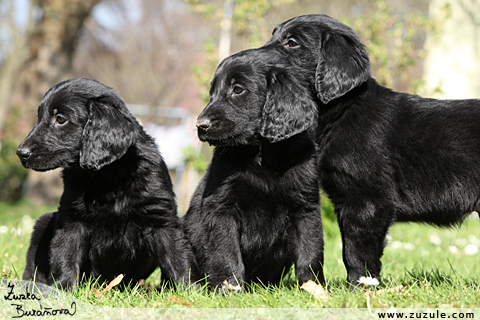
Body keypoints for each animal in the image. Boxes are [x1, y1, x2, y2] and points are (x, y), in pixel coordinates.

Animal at [16, 78, 197, 290]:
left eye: (60, 119)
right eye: (39, 117)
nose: (21, 153)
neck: (107, 177)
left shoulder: (161, 217)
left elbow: (176, 255)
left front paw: (189, 290)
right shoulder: (72, 219)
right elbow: (67, 253)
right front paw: (64, 287)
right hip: (43, 222)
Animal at [182, 48, 324, 292]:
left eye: (238, 89)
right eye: (212, 93)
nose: (201, 125)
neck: (261, 156)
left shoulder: (306, 207)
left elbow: (310, 252)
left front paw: (315, 289)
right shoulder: (220, 209)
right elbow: (226, 253)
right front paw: (229, 289)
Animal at [264, 14, 480, 284]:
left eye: (292, 43)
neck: (343, 110)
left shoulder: (367, 200)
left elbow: (356, 250)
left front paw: (361, 285)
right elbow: (348, 246)